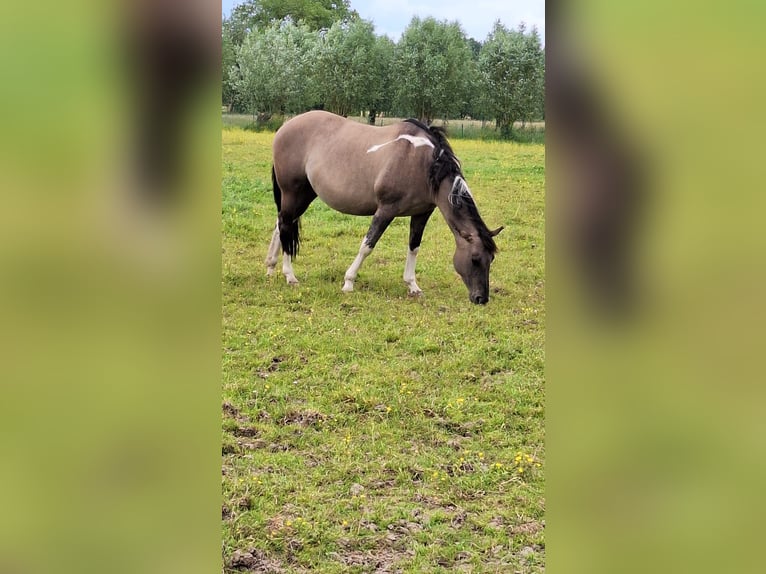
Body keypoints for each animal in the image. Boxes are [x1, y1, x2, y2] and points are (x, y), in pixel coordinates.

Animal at [264, 109, 504, 304]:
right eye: (475, 259)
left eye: (491, 259)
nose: (481, 298)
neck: (423, 164)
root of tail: (285, 127)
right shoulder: (386, 210)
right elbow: (367, 245)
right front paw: (348, 282)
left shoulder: (422, 213)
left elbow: (414, 247)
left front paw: (413, 286)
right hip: (294, 192)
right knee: (285, 225)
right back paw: (289, 275)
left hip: (304, 194)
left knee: (281, 223)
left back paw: (270, 267)